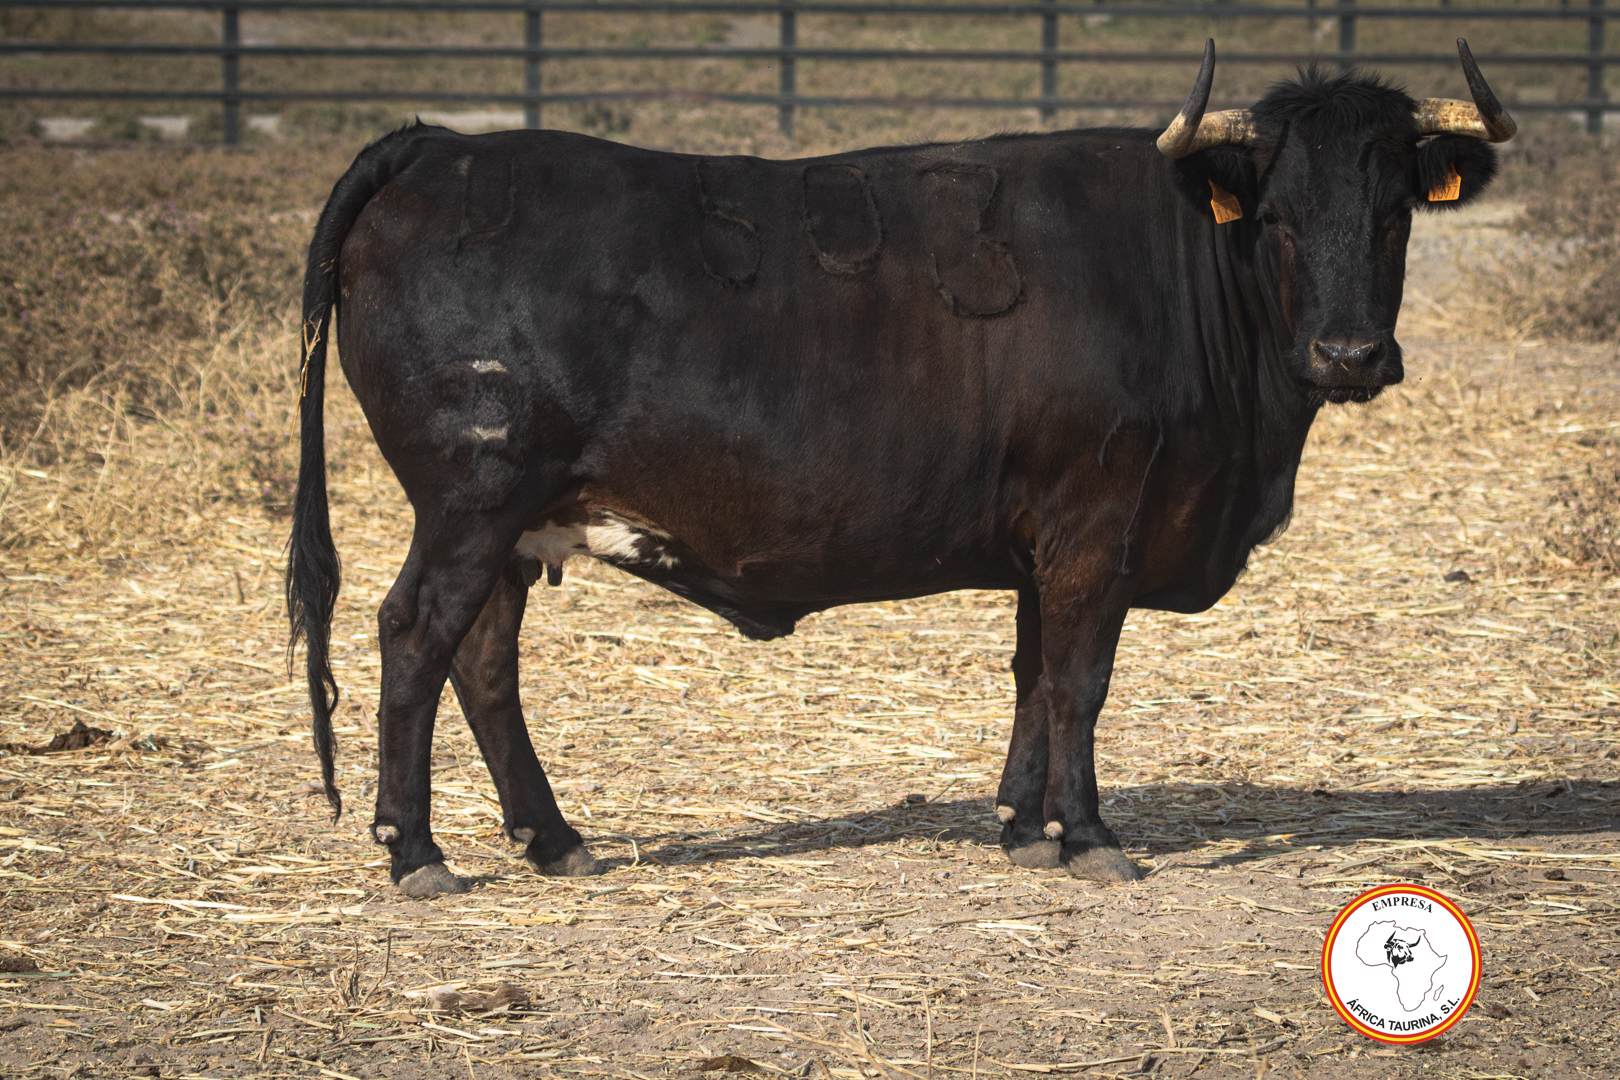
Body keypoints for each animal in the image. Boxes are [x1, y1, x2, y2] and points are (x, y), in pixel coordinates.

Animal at [288, 40, 1513, 898]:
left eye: (1398, 215)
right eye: (1281, 218)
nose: (1348, 354)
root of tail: (439, 143)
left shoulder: (1045, 534)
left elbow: (1033, 676)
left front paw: (1022, 826)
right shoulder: (1096, 521)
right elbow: (1081, 680)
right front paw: (1091, 834)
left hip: (513, 520)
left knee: (484, 660)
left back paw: (554, 839)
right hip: (471, 499)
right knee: (416, 637)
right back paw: (415, 852)